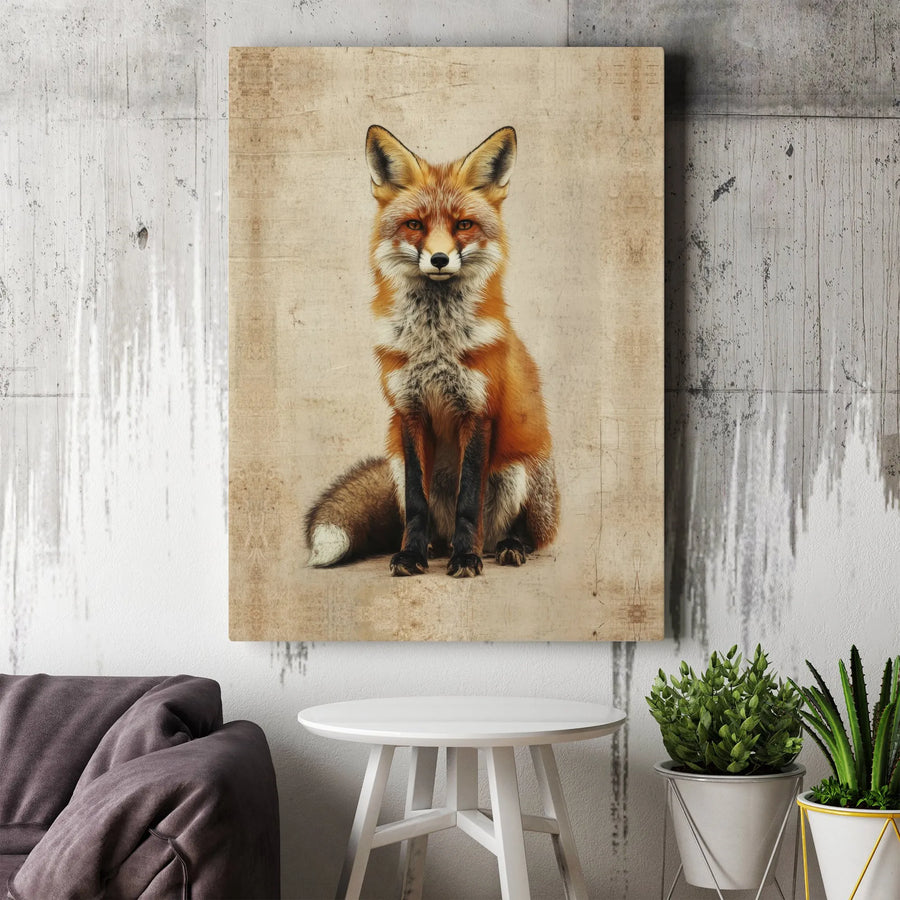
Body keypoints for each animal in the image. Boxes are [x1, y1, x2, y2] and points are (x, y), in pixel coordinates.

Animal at [305, 124, 559, 577]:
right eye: (414, 225)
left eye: (463, 225)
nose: (439, 259)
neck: (435, 344)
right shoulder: (409, 412)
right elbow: (417, 503)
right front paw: (410, 555)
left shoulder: (478, 412)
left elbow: (468, 502)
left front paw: (466, 559)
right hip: (394, 462)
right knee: (430, 518)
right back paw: (436, 548)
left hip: (519, 472)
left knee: (525, 532)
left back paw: (504, 547)